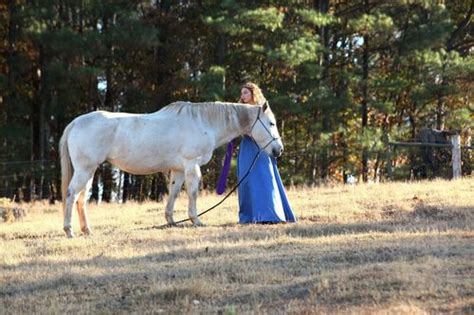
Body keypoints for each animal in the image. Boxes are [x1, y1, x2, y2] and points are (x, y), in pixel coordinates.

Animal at [59, 101, 282, 237]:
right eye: (271, 123)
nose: (278, 150)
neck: (203, 122)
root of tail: (76, 122)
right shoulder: (191, 165)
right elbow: (192, 193)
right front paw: (196, 220)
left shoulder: (179, 170)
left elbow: (173, 193)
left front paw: (171, 221)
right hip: (85, 170)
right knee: (71, 195)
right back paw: (69, 230)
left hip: (90, 172)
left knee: (81, 199)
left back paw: (87, 230)